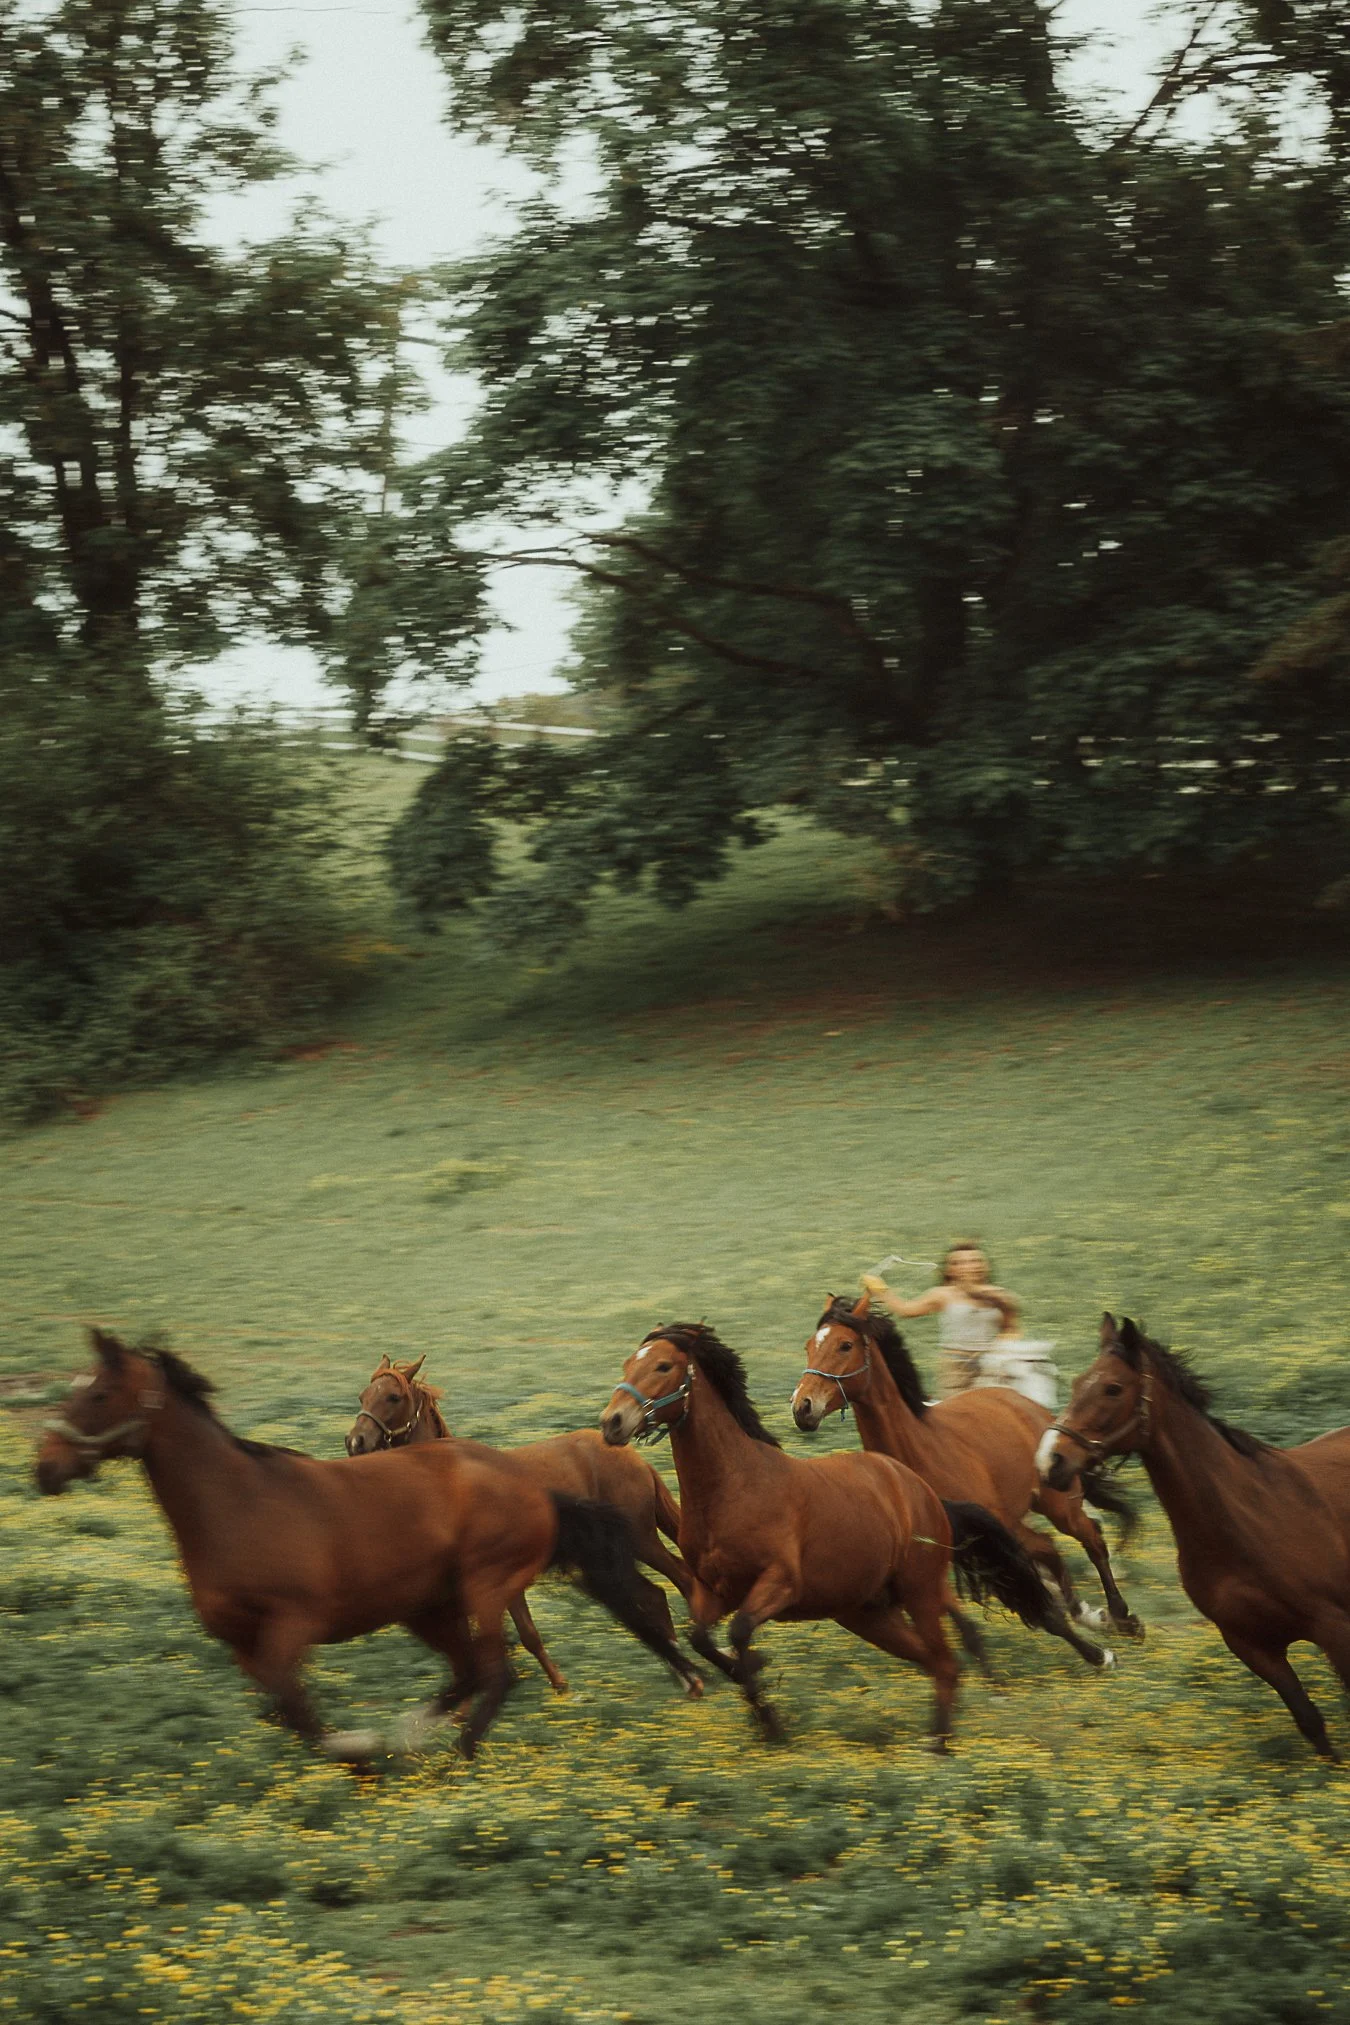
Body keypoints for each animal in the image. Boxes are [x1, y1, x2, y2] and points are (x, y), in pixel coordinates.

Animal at [344, 1353, 698, 1695]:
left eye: (393, 1397)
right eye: (362, 1395)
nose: (355, 1441)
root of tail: (632, 1457)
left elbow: (524, 1635)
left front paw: (559, 1687)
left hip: (642, 1540)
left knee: (681, 1579)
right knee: (655, 1596)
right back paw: (682, 1672)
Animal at [600, 1321, 1063, 1750]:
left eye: (663, 1366)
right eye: (628, 1363)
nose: (612, 1422)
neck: (734, 1486)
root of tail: (925, 1493)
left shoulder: (780, 1583)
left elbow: (739, 1632)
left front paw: (768, 1709)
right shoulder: (713, 1591)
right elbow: (701, 1639)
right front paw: (760, 1700)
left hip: (919, 1592)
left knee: (947, 1662)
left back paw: (940, 1752)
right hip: (868, 1614)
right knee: (938, 1663)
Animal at [791, 1293, 1140, 1665]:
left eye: (845, 1345)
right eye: (809, 1345)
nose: (802, 1406)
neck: (920, 1451)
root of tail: (1029, 1405)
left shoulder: (993, 1541)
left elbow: (1041, 1604)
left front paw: (1100, 1656)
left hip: (1058, 1505)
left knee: (1092, 1539)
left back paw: (1121, 1616)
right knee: (1052, 1550)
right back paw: (1093, 1615)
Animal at [1040, 1314, 1350, 1759]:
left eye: (1113, 1388)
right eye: (1079, 1381)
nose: (1052, 1461)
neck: (1250, 1521)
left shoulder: (1335, 1628)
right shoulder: (1253, 1647)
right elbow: (1311, 1723)